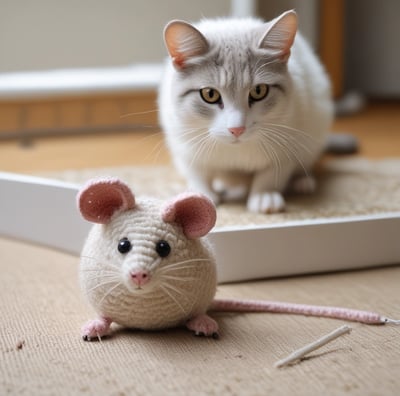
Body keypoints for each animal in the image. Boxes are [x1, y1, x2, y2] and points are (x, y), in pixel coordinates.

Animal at [158, 10, 332, 213]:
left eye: (259, 91)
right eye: (209, 94)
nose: (237, 129)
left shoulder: (289, 138)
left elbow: (272, 172)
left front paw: (264, 194)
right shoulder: (184, 142)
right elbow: (197, 172)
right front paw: (201, 194)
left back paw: (303, 181)